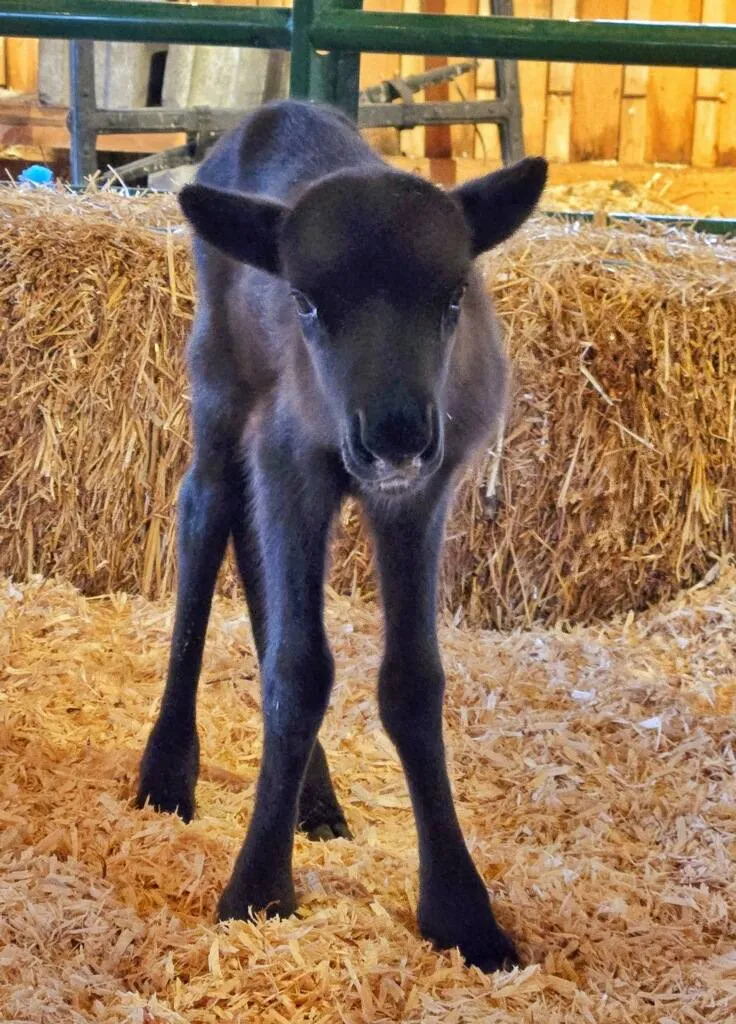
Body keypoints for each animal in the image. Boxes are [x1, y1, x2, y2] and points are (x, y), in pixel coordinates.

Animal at [136, 98, 547, 972]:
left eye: (452, 296)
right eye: (308, 303)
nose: (393, 434)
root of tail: (272, 113)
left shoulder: (422, 492)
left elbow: (412, 681)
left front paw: (462, 915)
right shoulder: (293, 458)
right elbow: (299, 671)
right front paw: (257, 892)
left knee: (248, 546)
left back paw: (314, 798)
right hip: (220, 379)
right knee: (205, 511)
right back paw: (168, 772)